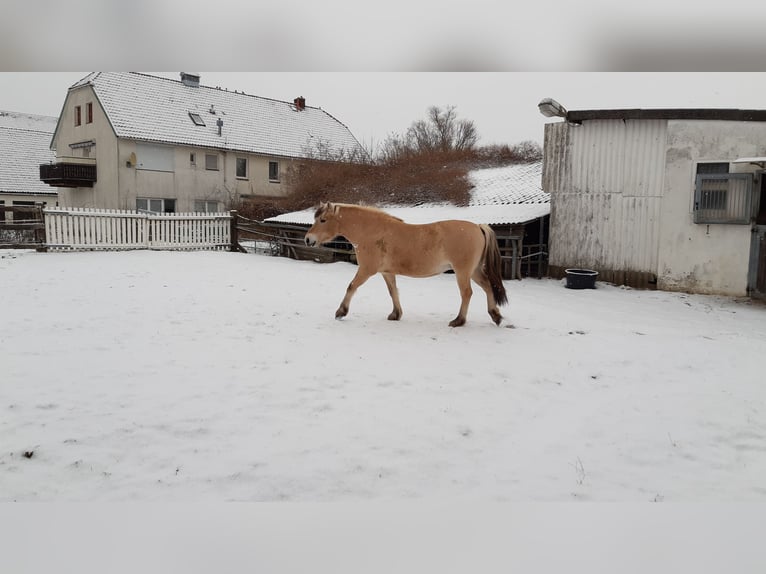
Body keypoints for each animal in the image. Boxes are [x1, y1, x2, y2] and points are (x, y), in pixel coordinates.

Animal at [306, 202, 510, 328]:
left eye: (322, 220)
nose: (308, 239)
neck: (372, 232)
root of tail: (478, 227)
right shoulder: (387, 272)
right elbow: (393, 292)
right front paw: (395, 314)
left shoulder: (366, 270)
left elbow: (351, 287)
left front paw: (341, 312)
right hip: (474, 271)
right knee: (488, 287)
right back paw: (496, 316)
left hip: (462, 272)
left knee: (467, 293)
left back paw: (459, 320)